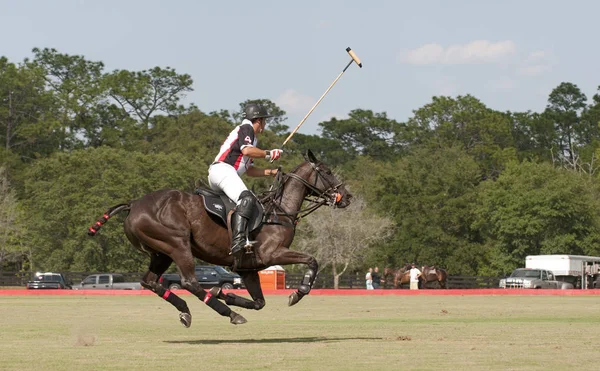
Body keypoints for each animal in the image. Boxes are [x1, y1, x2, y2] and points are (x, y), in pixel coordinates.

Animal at [86, 150, 354, 326]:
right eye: (327, 171)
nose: (347, 196)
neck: (278, 211)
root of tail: (133, 204)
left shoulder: (248, 268)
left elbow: (259, 302)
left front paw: (222, 292)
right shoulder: (272, 253)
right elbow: (312, 260)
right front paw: (298, 292)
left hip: (161, 252)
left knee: (150, 281)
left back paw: (186, 311)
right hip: (177, 244)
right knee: (189, 282)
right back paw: (229, 314)